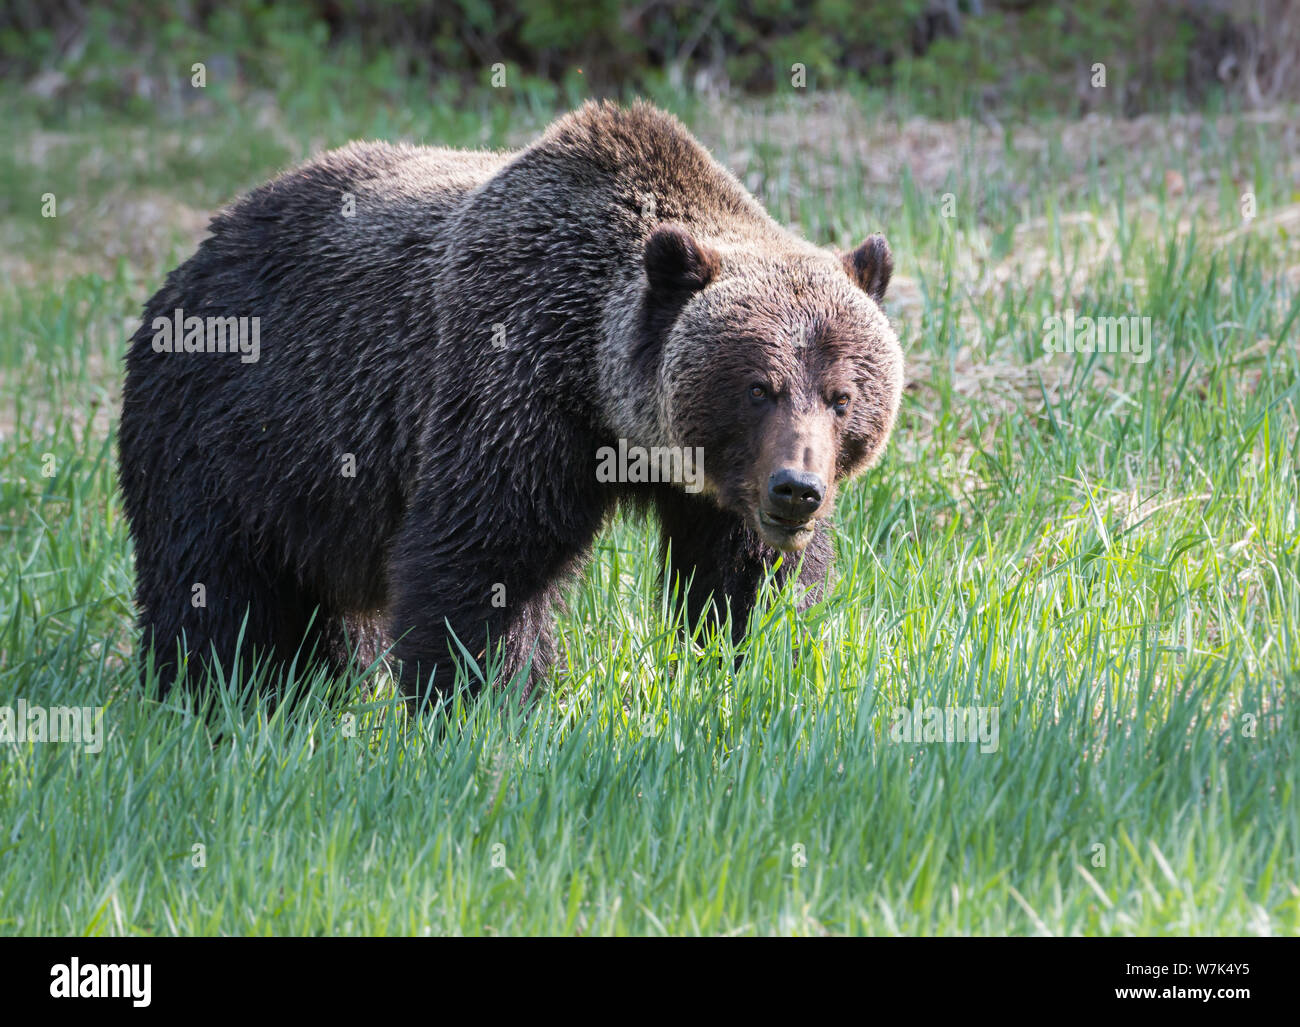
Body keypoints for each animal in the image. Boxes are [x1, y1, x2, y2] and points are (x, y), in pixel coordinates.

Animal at [117, 100, 904, 703]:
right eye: (757, 387)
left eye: (842, 395)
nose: (795, 489)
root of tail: (196, 255)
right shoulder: (515, 382)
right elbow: (486, 559)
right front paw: (485, 705)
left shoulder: (717, 490)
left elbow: (747, 580)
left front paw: (752, 668)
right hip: (231, 432)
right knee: (214, 586)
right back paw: (217, 692)